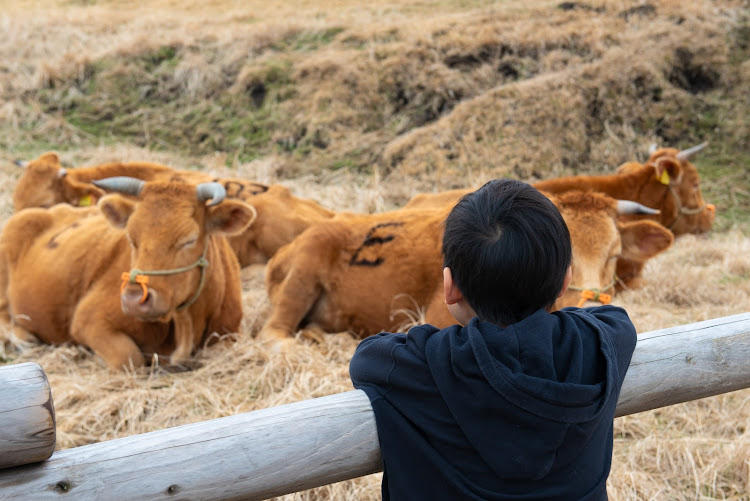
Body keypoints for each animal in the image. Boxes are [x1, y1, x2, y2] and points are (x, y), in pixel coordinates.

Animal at [0, 178, 256, 370]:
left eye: (188, 240)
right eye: (131, 237)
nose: (133, 300)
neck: (184, 325)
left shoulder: (230, 333)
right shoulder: (87, 320)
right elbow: (129, 358)